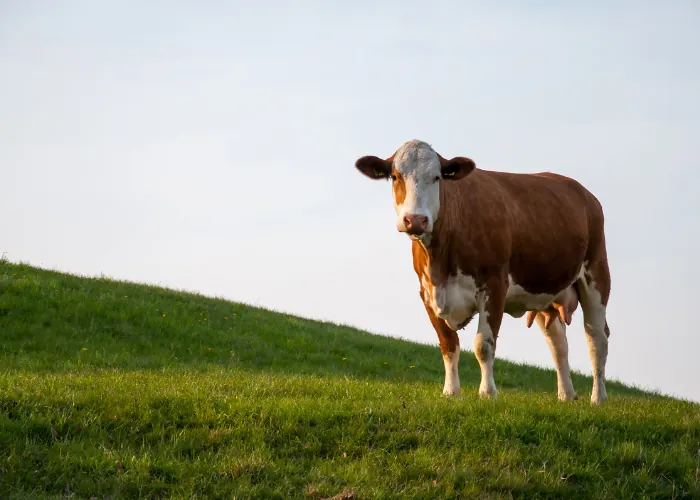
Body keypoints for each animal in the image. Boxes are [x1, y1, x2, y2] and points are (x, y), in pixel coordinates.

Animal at [354, 139, 611, 405]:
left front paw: (487, 392)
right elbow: (448, 344)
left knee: (597, 337)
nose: (415, 220)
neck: (441, 262)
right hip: (544, 290)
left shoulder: (494, 285)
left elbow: (483, 345)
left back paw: (598, 398)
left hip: (596, 273)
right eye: (395, 176)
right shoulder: (427, 292)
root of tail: (584, 193)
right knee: (558, 342)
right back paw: (566, 394)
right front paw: (451, 391)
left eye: (437, 177)